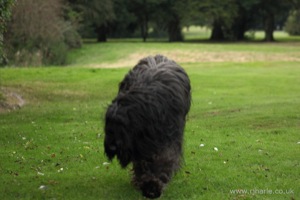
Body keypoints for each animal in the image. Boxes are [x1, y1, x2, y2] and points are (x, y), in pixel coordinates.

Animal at [104, 54, 191, 198]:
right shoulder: (140, 143)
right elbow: (141, 162)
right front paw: (144, 180)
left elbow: (165, 158)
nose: (112, 147)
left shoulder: (168, 136)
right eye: (108, 126)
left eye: (124, 127)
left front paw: (153, 185)